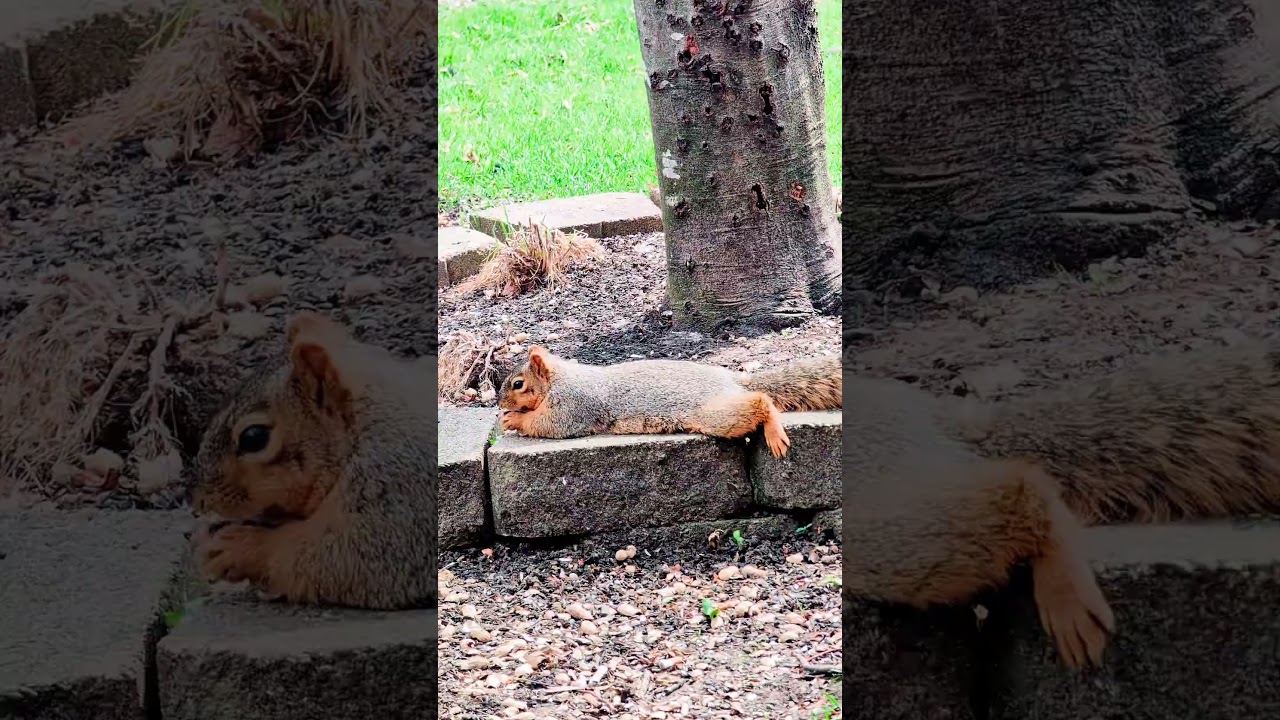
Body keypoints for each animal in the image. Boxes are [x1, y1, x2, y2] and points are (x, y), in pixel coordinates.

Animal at [496, 346, 841, 457]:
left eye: (518, 384)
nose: (499, 405)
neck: (561, 377)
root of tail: (732, 382)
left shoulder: (573, 405)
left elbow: (550, 424)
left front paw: (514, 419)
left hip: (714, 414)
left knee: (760, 401)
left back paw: (774, 431)